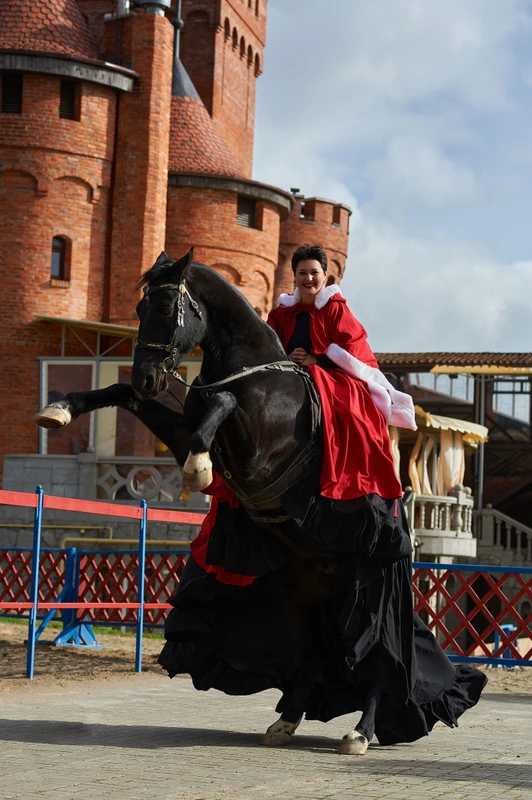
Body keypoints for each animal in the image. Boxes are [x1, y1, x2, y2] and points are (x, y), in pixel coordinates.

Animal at [34, 249, 486, 753]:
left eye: (167, 308)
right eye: (138, 309)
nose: (149, 377)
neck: (253, 375)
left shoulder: (257, 459)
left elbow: (223, 403)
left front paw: (199, 466)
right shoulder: (182, 432)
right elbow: (126, 396)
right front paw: (61, 408)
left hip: (371, 590)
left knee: (380, 657)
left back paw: (361, 731)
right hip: (304, 593)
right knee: (314, 655)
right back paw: (287, 721)